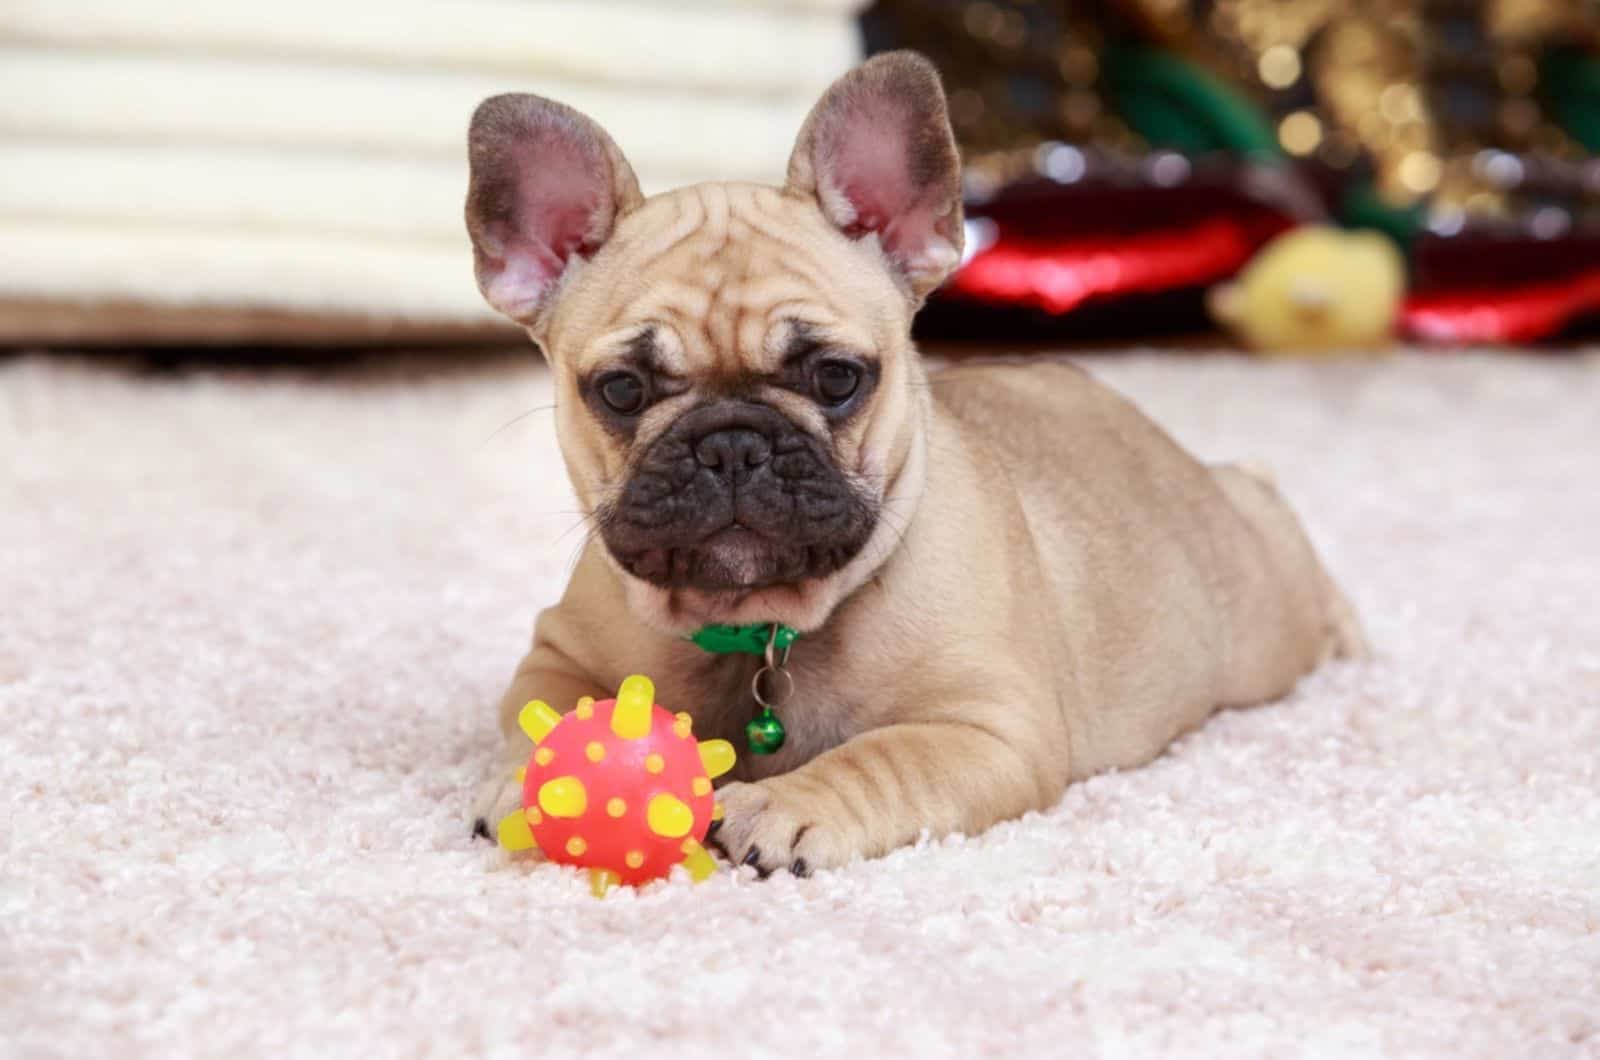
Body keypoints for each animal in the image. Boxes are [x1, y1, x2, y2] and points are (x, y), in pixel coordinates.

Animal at [460, 49, 1363, 877]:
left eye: (837, 377)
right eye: (621, 389)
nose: (732, 442)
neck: (766, 624)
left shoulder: (988, 730)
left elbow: (884, 756)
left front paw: (788, 805)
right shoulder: (558, 653)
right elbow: (545, 712)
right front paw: (530, 784)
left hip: (1263, 613)